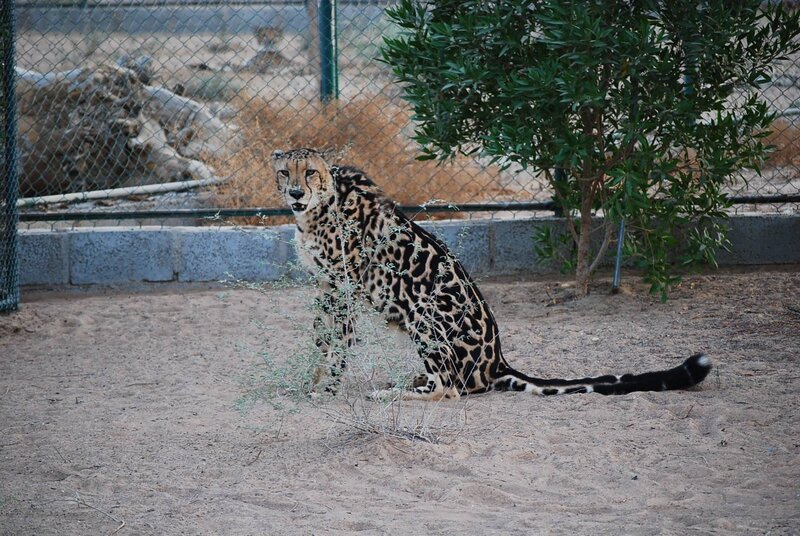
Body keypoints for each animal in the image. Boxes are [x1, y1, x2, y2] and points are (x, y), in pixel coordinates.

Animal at [272, 147, 712, 401]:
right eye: (284, 173)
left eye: (309, 172)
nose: (295, 193)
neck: (319, 207)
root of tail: (498, 361)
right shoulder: (324, 286)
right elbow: (320, 339)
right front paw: (311, 382)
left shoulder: (343, 286)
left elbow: (338, 344)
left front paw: (327, 389)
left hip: (424, 312)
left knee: (450, 389)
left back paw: (391, 393)